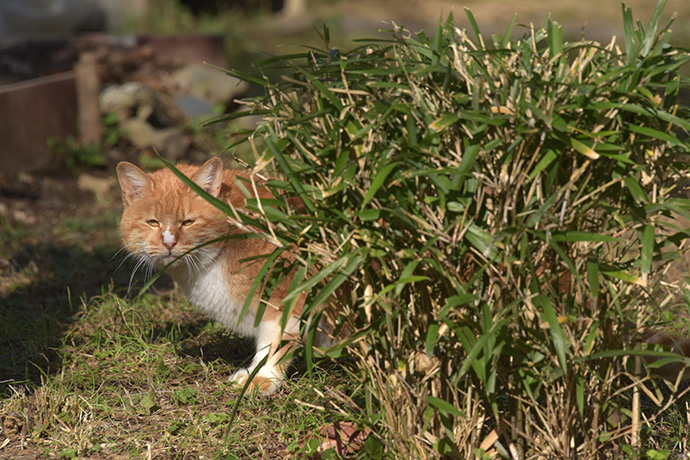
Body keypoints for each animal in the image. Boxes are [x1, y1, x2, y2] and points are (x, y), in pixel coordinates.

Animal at [117, 157, 322, 392]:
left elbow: (275, 343)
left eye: (188, 222)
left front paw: (262, 378)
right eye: (153, 222)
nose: (169, 243)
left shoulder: (293, 294)